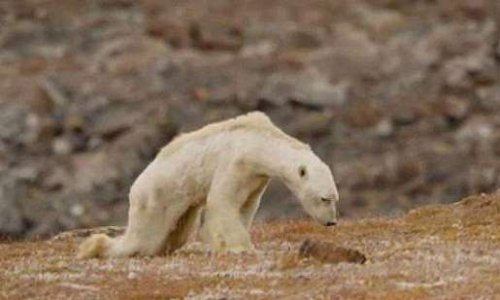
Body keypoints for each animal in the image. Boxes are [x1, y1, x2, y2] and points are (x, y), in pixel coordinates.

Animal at [78, 112, 340, 258]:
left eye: (335, 198)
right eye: (324, 198)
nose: (331, 222)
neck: (257, 142)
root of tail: (135, 188)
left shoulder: (256, 177)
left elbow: (246, 206)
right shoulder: (236, 162)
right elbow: (222, 201)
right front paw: (240, 247)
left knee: (175, 233)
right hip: (156, 196)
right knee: (144, 238)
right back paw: (94, 247)